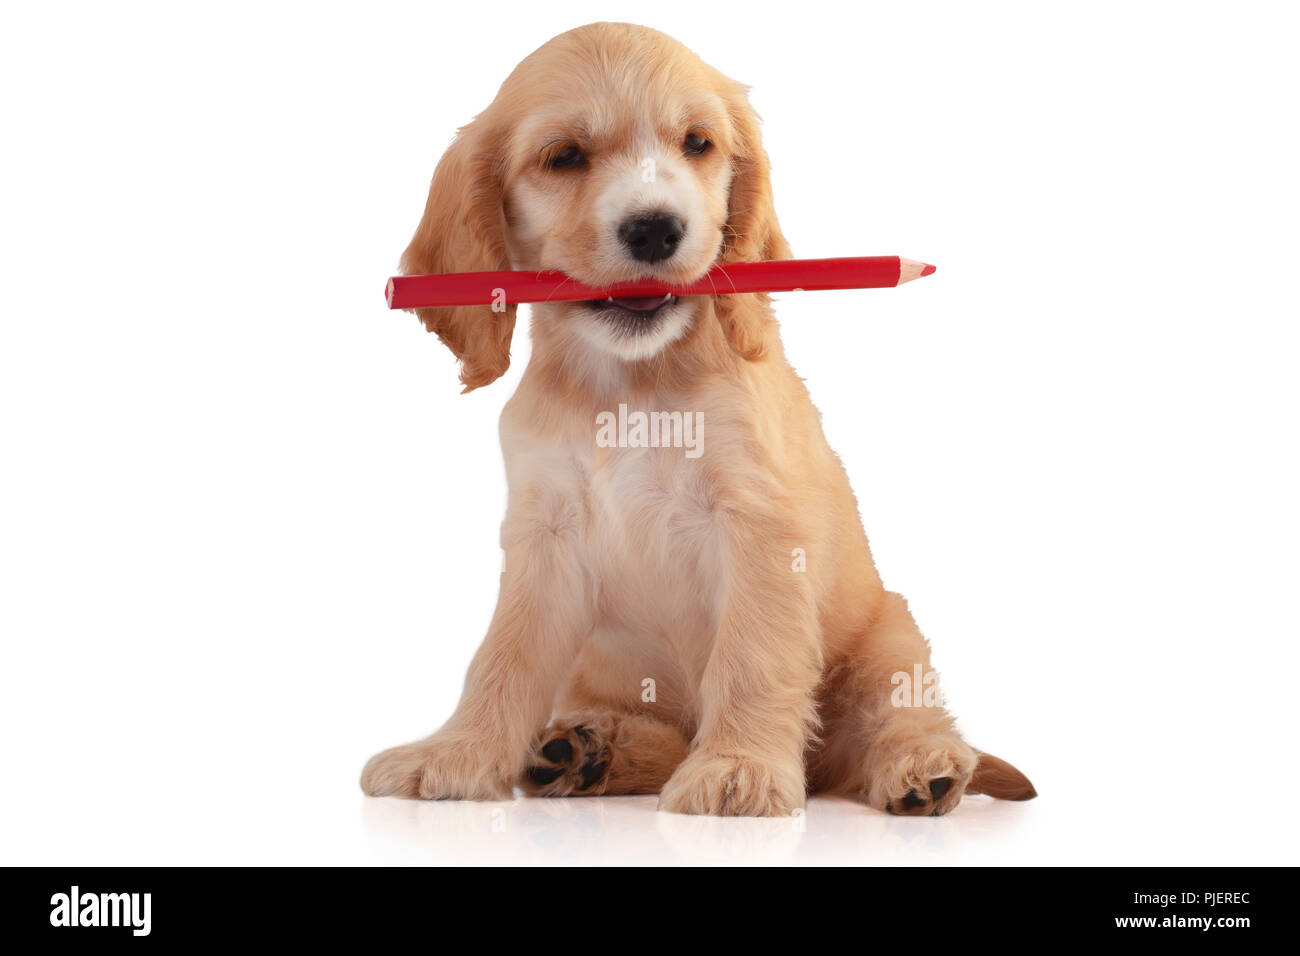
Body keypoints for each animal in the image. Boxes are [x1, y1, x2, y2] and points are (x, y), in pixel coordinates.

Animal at [364, 20, 1034, 816]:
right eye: (564, 157)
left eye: (697, 144)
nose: (655, 230)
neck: (630, 386)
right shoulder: (545, 534)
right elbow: (505, 656)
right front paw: (457, 753)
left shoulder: (759, 522)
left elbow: (751, 655)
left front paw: (738, 768)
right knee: (658, 732)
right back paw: (585, 751)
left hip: (888, 638)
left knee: (893, 717)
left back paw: (922, 767)